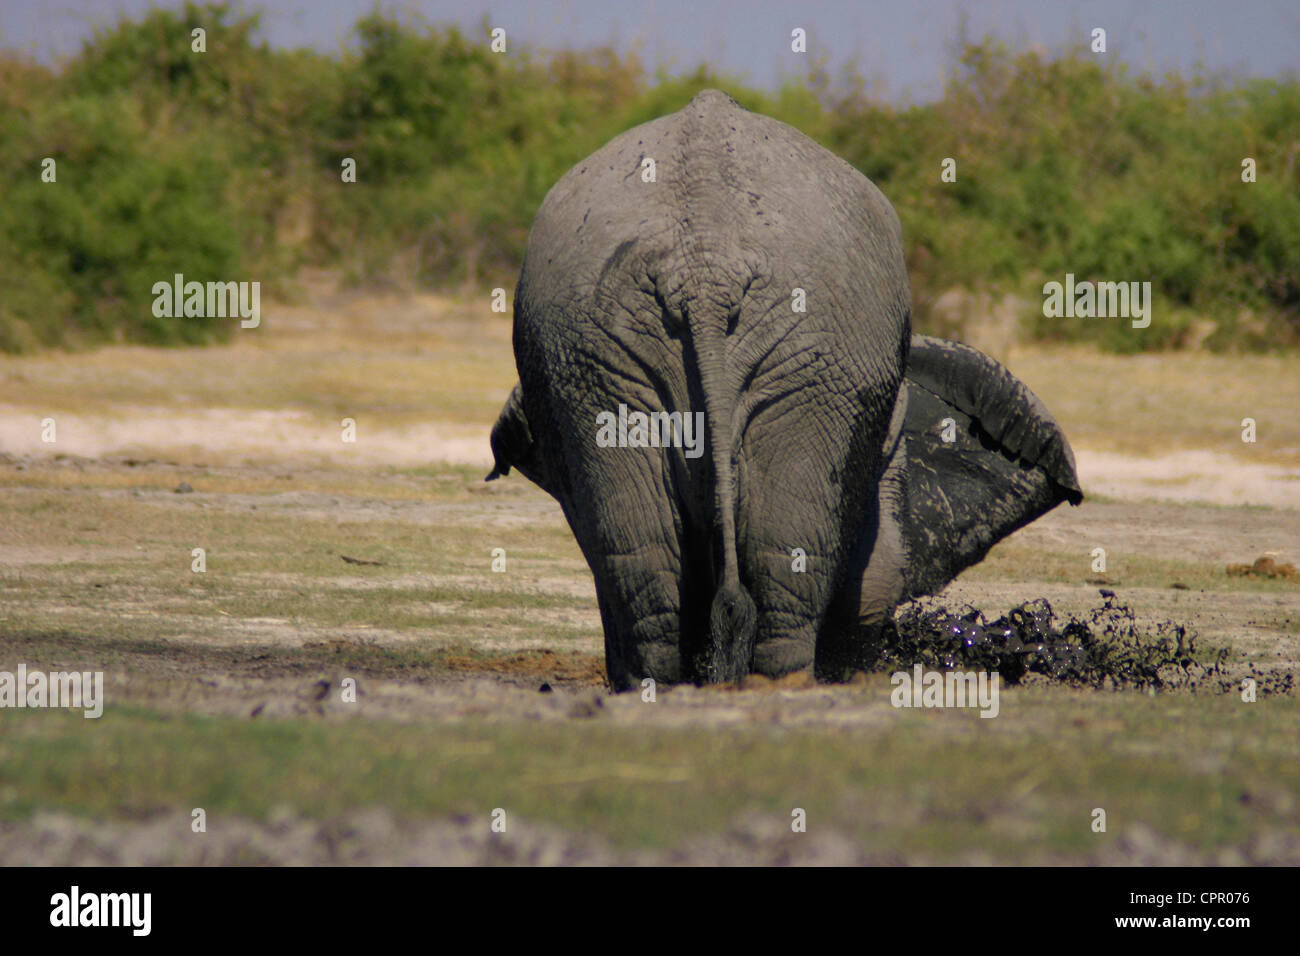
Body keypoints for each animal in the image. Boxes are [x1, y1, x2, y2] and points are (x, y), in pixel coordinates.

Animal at [487, 90, 1081, 690]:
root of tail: (702, 270)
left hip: (596, 356)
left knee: (640, 554)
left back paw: (664, 686)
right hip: (799, 362)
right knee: (781, 551)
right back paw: (783, 685)